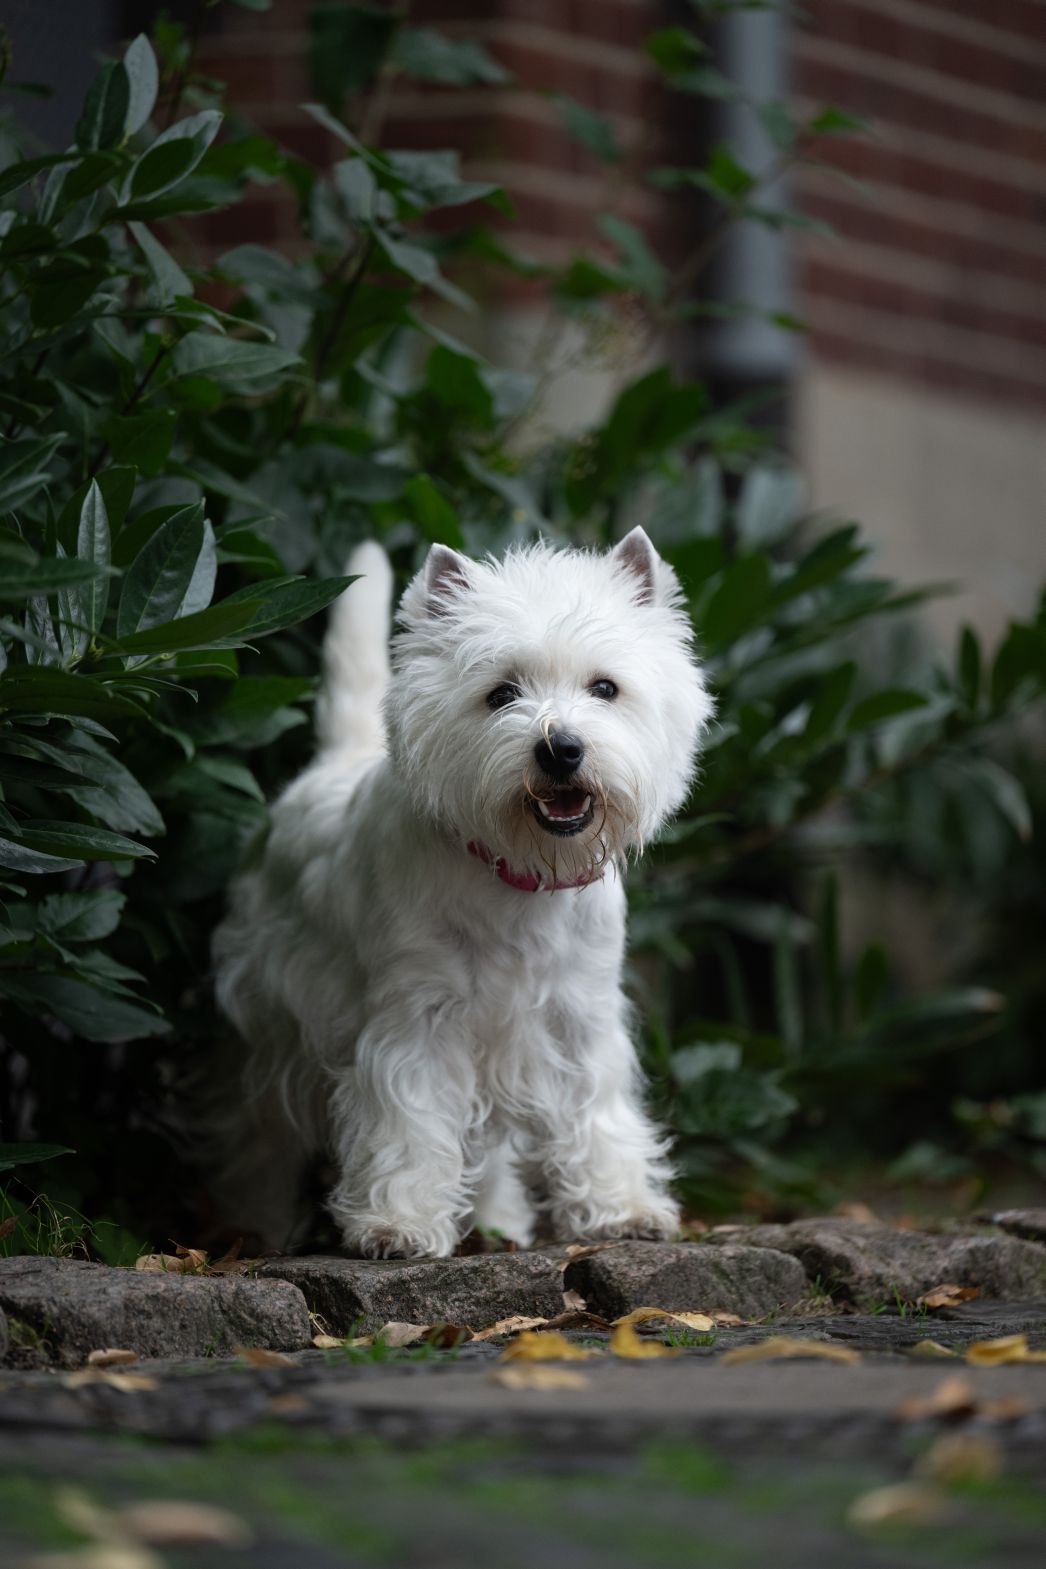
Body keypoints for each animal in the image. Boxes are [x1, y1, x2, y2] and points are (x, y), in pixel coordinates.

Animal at [214, 533, 721, 1255]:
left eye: (605, 687)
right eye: (501, 693)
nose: (561, 748)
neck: (521, 878)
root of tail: (330, 766)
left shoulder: (577, 1018)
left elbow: (597, 1109)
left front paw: (621, 1208)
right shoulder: (417, 1018)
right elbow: (409, 1118)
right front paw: (397, 1223)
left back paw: (496, 1221)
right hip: (273, 1020)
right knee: (262, 1132)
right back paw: (255, 1223)